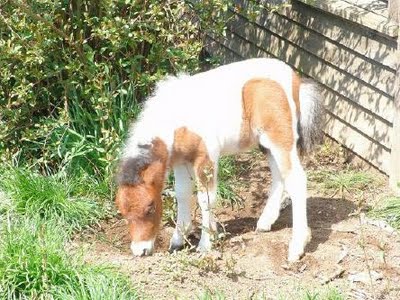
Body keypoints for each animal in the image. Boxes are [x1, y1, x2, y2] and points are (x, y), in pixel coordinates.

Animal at [115, 58, 322, 260]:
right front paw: (178, 241)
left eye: (150, 207)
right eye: (123, 212)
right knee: (279, 176)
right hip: (265, 144)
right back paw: (265, 223)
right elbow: (182, 194)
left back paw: (296, 247)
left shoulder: (207, 155)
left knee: (296, 180)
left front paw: (206, 244)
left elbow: (206, 198)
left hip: (280, 139)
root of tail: (295, 79)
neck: (177, 122)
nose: (140, 250)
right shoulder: (181, 161)